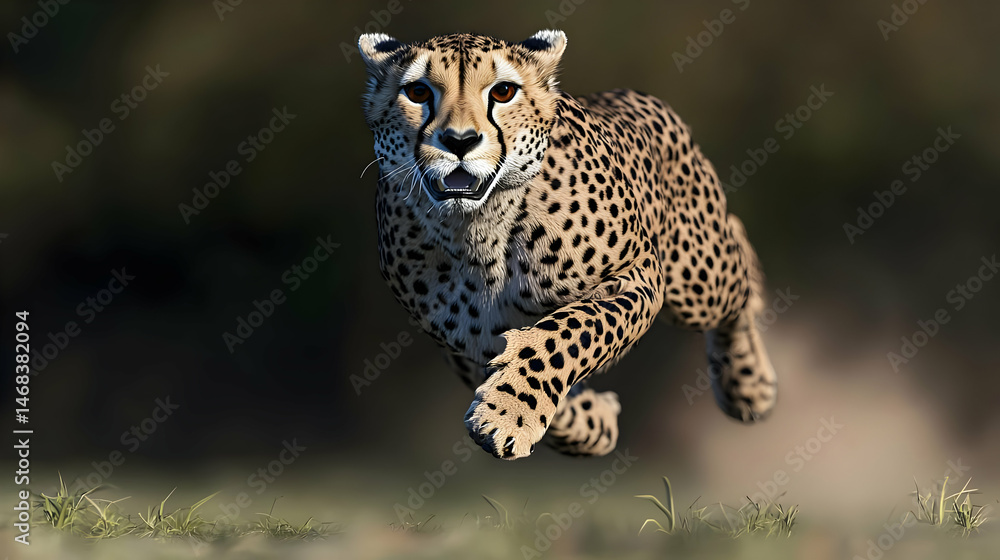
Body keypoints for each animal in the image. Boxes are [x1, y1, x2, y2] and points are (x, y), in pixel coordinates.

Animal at [358, 29, 777, 460]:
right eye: (419, 92)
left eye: (503, 91)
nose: (460, 141)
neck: (481, 229)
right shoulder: (467, 344)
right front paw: (590, 422)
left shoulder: (637, 273)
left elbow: (574, 331)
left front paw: (507, 414)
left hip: (700, 280)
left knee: (738, 267)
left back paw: (750, 386)